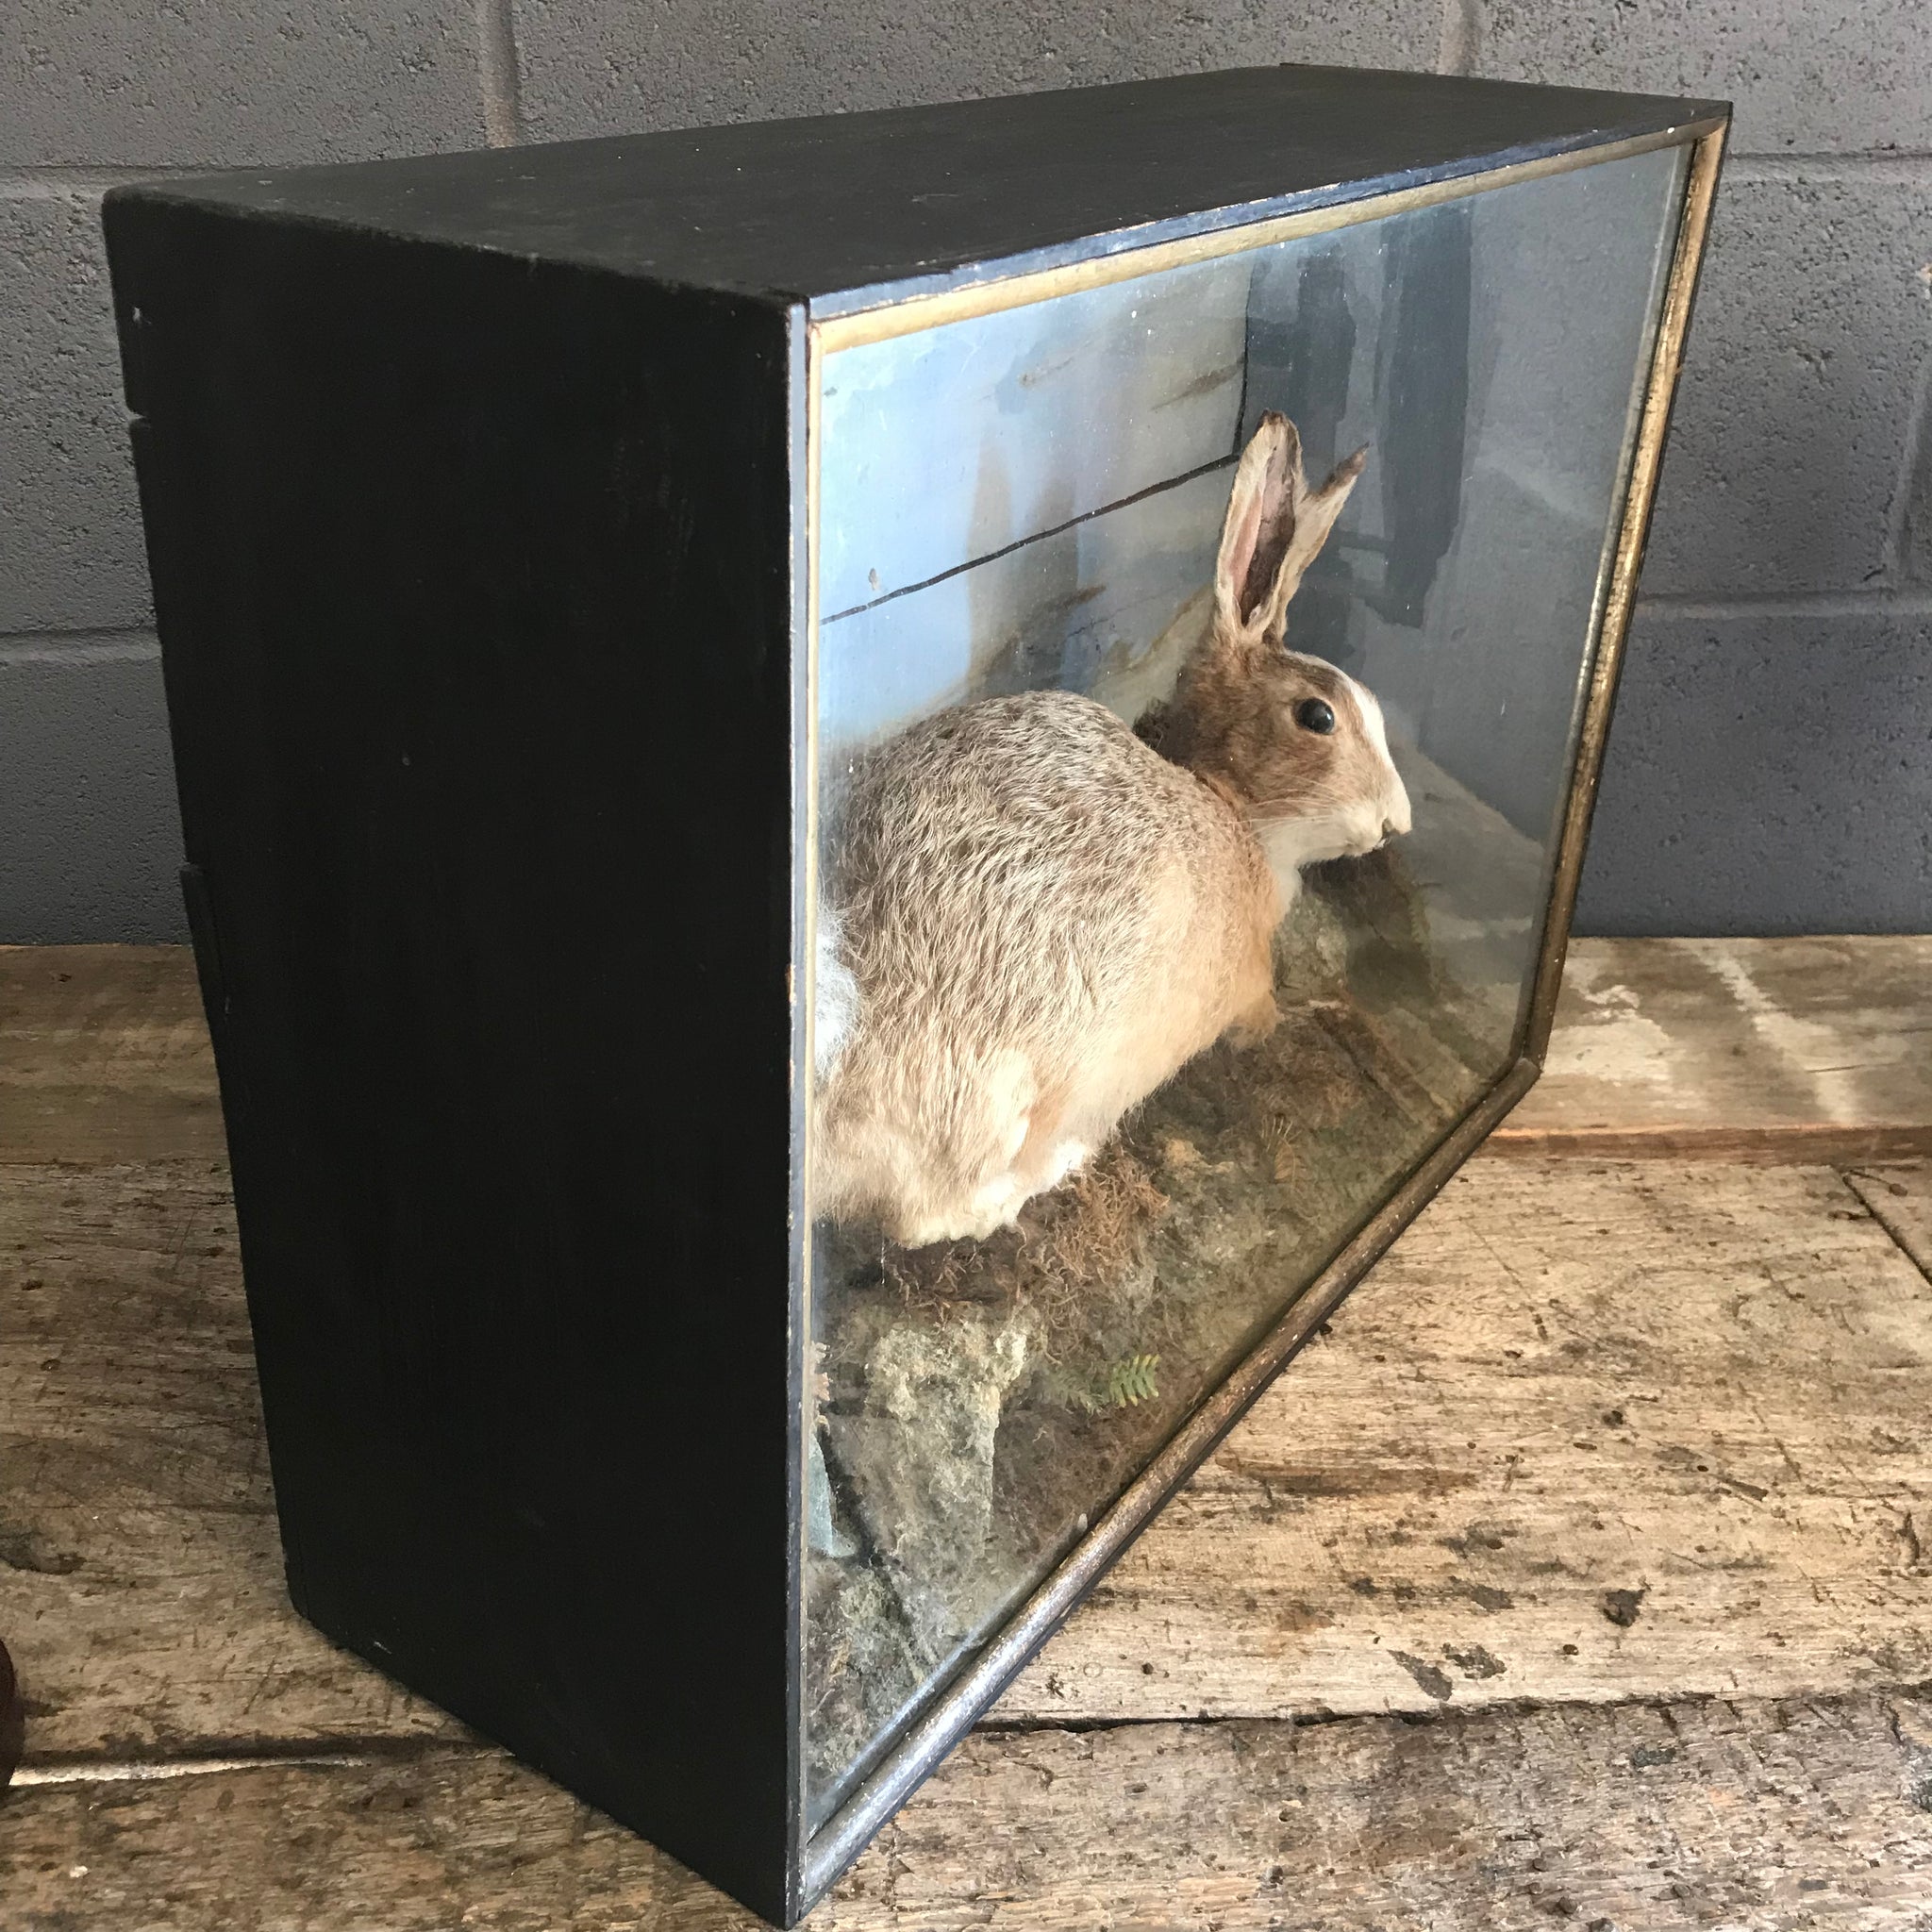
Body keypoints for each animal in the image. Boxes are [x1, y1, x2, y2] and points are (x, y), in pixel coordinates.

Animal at [812, 412, 1411, 1248]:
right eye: (1318, 717)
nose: (1396, 823)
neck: (1231, 804)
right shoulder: (1247, 982)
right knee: (930, 1217)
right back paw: (1059, 1166)